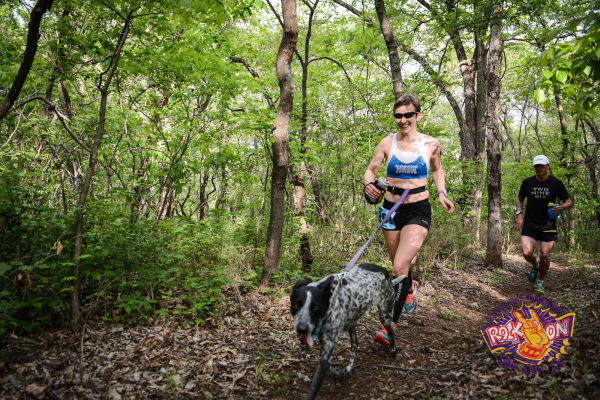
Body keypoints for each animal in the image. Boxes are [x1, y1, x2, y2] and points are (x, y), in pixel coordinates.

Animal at [290, 262, 404, 400]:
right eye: (296, 305)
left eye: (316, 307)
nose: (302, 328)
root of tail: (384, 271)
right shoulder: (325, 352)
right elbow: (328, 368)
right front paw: (334, 372)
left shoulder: (326, 355)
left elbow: (313, 389)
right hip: (352, 323)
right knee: (355, 346)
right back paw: (348, 369)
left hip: (385, 315)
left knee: (391, 330)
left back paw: (393, 348)